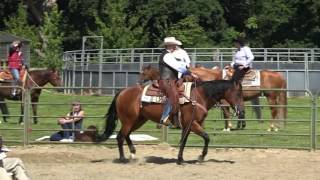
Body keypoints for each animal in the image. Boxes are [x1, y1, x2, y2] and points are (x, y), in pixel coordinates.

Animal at [96, 67, 246, 165]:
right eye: (238, 93)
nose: (241, 111)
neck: (200, 96)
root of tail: (122, 92)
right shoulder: (192, 124)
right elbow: (206, 137)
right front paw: (201, 157)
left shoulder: (188, 125)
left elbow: (184, 141)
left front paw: (180, 159)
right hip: (128, 120)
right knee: (120, 136)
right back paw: (123, 159)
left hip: (138, 120)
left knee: (126, 135)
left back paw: (132, 154)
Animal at [140, 64, 288, 131]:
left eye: (144, 72)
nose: (139, 81)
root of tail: (279, 74)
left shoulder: (223, 101)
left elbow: (226, 113)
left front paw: (227, 127)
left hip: (271, 96)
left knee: (274, 111)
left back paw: (272, 127)